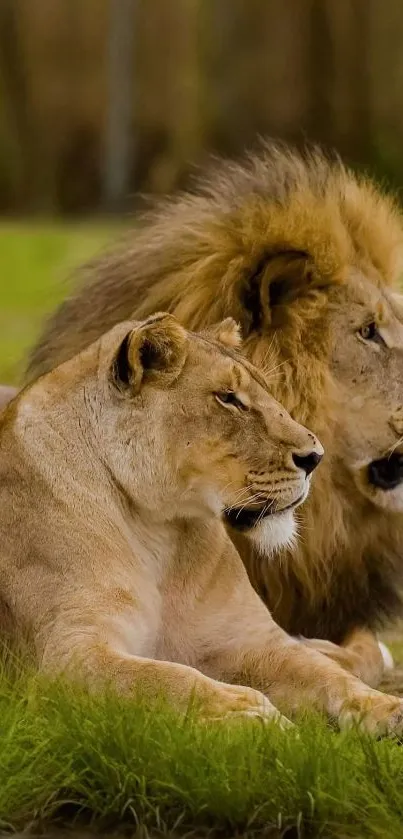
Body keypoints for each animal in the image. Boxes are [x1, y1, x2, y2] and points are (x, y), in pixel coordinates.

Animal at [2, 310, 403, 736]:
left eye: (265, 392)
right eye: (228, 398)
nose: (315, 458)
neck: (158, 533)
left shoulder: (249, 640)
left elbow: (326, 675)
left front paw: (386, 709)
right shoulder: (65, 657)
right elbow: (166, 678)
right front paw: (250, 713)